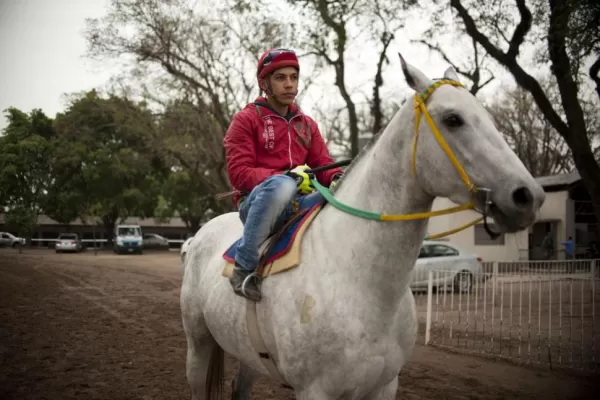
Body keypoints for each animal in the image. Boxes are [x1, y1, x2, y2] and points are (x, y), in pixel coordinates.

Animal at [180, 54, 548, 400]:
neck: (360, 282)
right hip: (198, 343)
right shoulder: (315, 391)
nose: (527, 196)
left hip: (248, 355)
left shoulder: (384, 386)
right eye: (452, 119)